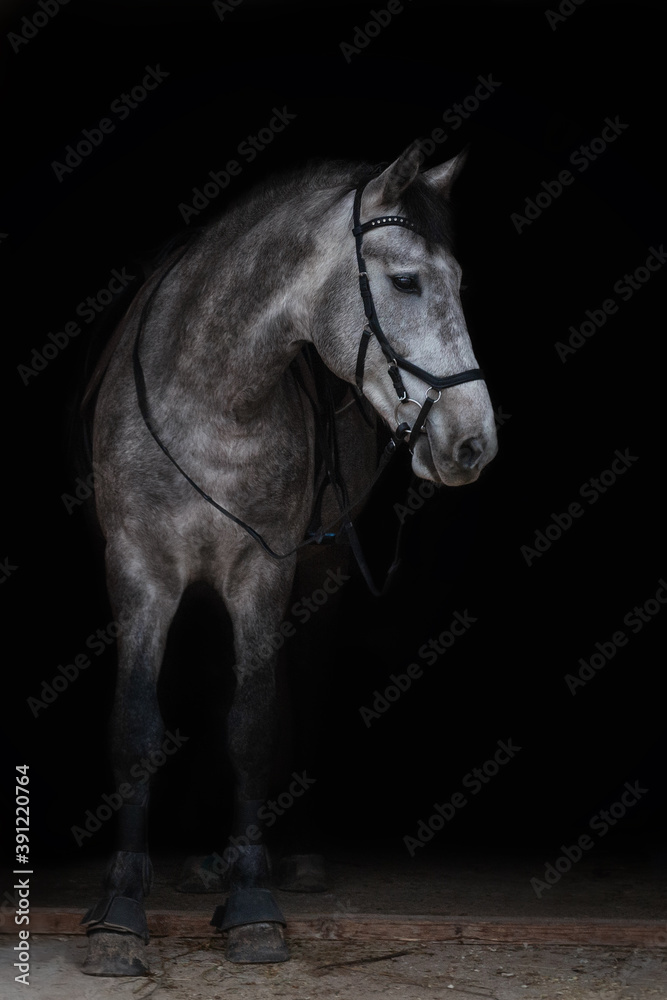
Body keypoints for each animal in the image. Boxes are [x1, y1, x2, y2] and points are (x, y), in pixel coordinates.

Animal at [79, 140, 498, 976]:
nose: (474, 443)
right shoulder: (139, 571)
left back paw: (291, 854)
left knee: (299, 685)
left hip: (318, 573)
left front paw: (251, 905)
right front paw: (120, 911)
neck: (211, 400)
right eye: (407, 281)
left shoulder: (262, 574)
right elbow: (137, 728)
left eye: (459, 284)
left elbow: (253, 722)